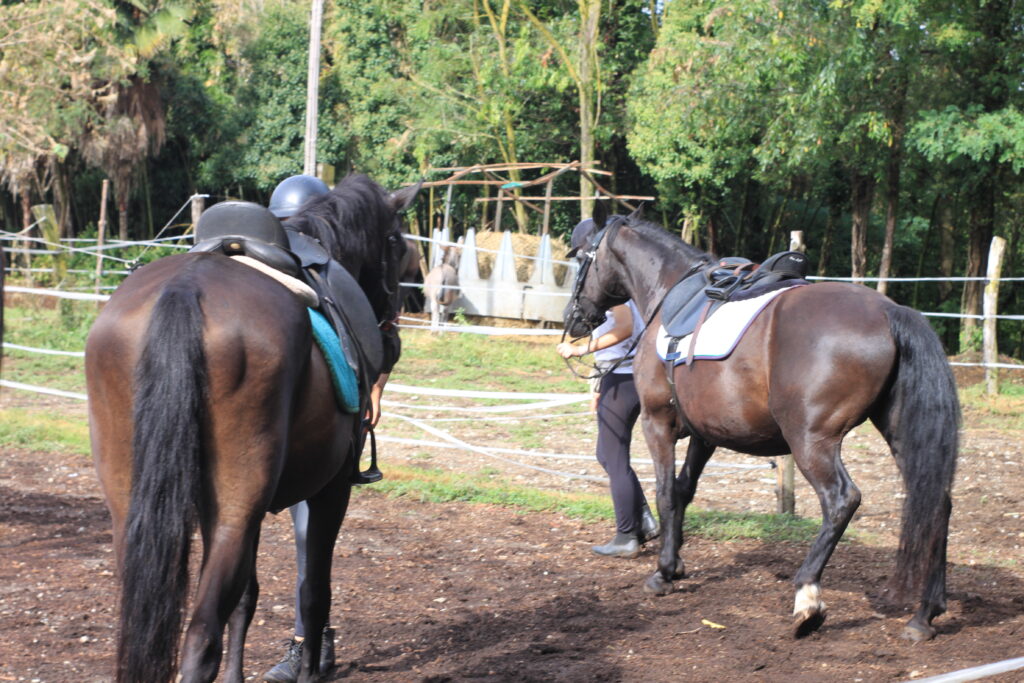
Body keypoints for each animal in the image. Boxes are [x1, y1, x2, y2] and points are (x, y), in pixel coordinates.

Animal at [85, 174, 418, 683]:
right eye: (397, 242)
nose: (393, 338)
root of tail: (185, 288)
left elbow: (245, 597)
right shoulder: (332, 489)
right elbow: (312, 593)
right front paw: (310, 670)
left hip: (136, 506)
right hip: (237, 506)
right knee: (201, 637)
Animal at [563, 208, 959, 643]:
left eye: (581, 259)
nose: (573, 319)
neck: (668, 292)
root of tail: (891, 312)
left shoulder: (657, 422)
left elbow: (666, 492)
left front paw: (663, 573)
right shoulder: (706, 433)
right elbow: (685, 490)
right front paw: (676, 562)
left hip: (811, 441)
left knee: (841, 500)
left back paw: (807, 599)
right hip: (900, 433)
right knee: (936, 502)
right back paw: (925, 614)